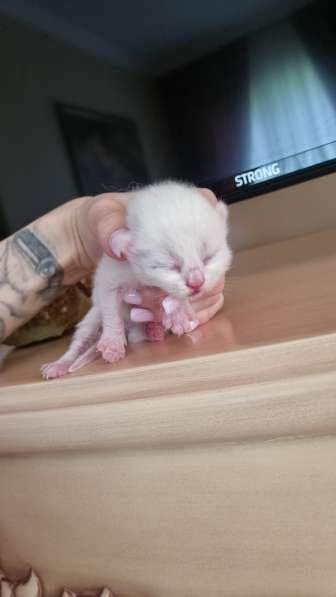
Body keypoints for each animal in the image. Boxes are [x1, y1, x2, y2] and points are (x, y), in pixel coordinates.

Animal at [40, 179, 231, 380]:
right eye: (170, 265)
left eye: (208, 258)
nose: (196, 282)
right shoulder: (109, 277)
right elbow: (111, 311)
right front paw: (112, 343)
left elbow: (173, 296)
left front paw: (179, 312)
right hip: (92, 319)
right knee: (79, 344)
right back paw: (60, 365)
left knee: (135, 335)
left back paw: (152, 329)